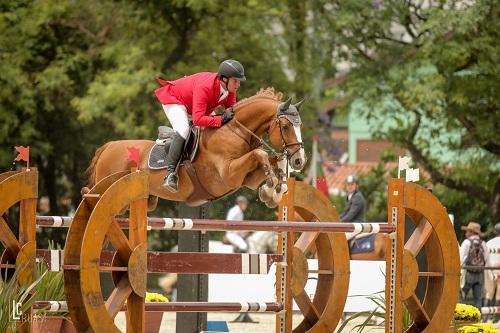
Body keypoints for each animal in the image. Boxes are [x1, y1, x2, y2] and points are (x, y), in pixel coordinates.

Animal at [84, 88, 306, 208]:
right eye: (286, 127)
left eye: (300, 126)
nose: (299, 161)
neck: (236, 131)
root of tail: (108, 147)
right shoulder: (228, 175)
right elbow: (260, 154)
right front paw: (272, 188)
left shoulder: (247, 179)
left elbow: (272, 159)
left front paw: (276, 190)